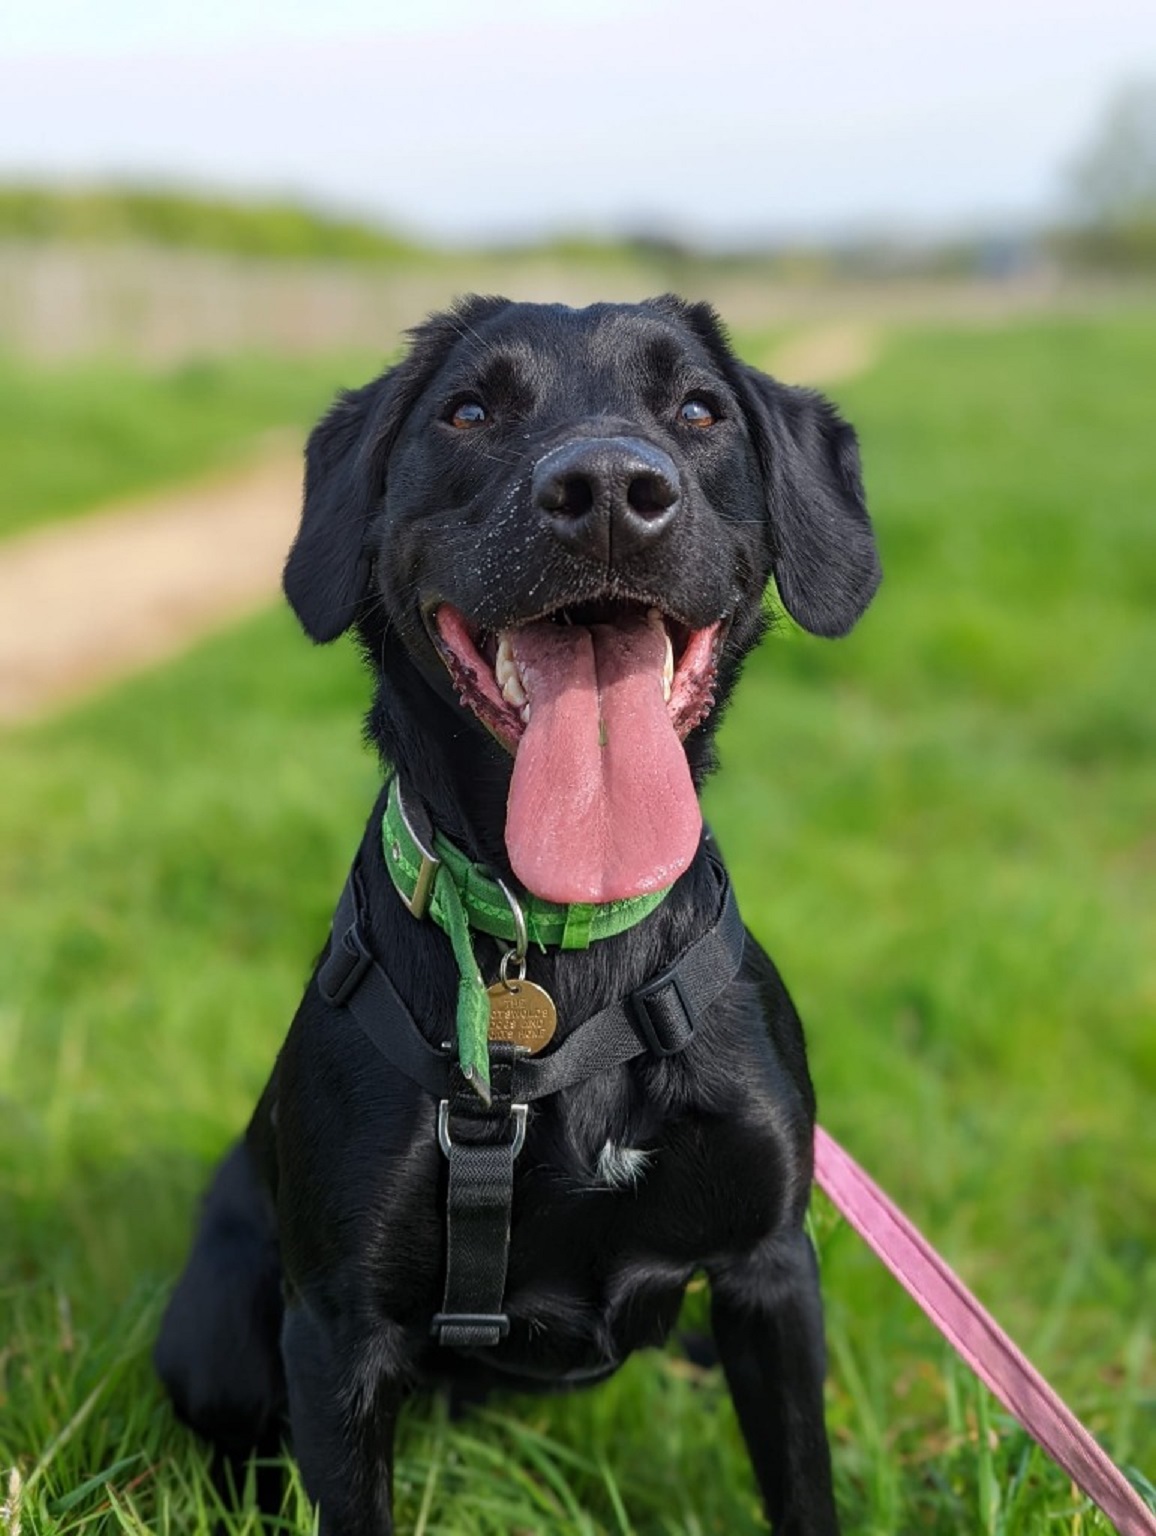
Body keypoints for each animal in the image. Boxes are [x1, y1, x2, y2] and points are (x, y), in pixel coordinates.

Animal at [153, 293, 871, 1529]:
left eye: (698, 410)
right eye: (469, 411)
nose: (609, 490)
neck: (559, 937)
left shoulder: (773, 1272)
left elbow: (800, 1486)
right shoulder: (337, 1332)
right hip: (212, 1327)